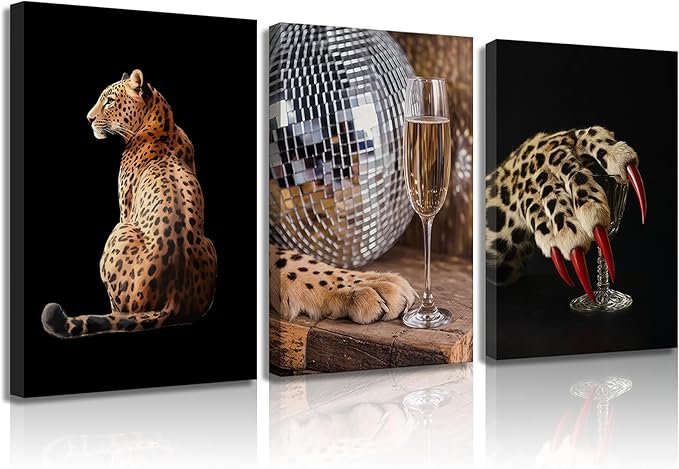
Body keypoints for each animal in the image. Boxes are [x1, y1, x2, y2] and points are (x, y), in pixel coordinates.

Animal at [41, 69, 217, 338]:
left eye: (110, 101)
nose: (89, 118)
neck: (164, 123)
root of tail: (174, 298)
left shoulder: (125, 209)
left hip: (119, 230)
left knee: (120, 309)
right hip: (210, 245)